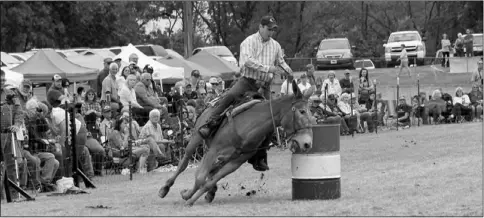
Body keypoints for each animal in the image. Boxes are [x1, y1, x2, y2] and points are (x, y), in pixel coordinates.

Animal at [158, 80, 314, 206]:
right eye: (301, 111)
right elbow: (200, 177)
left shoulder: (236, 162)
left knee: (211, 172)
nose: (307, 144)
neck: (247, 126)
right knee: (184, 163)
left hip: (223, 157)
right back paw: (165, 188)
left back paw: (210, 192)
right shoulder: (213, 151)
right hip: (196, 137)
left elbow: (210, 180)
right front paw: (188, 196)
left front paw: (193, 196)